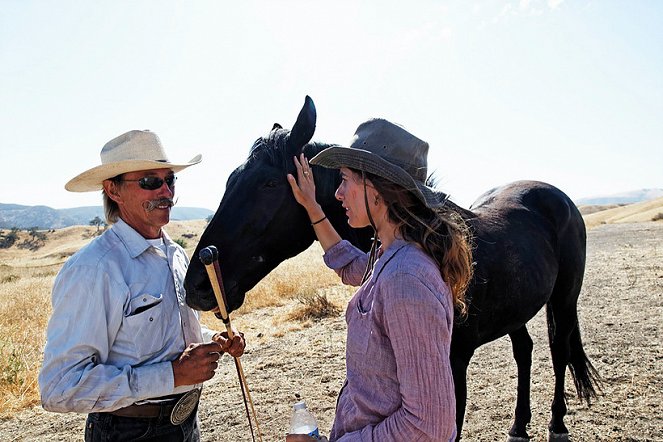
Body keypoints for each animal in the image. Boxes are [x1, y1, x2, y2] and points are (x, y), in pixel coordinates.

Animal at [184, 96, 600, 442]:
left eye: (269, 184)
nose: (197, 285)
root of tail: (555, 196)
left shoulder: (452, 365)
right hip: (517, 309)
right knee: (525, 350)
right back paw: (518, 426)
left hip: (564, 300)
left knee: (559, 349)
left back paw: (556, 423)